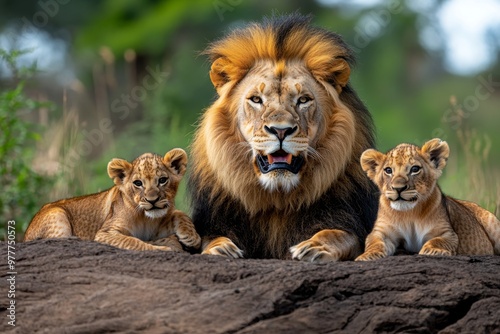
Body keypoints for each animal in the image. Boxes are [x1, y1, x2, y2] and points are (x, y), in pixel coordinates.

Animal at [189, 13, 376, 260]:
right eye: (256, 99)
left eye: (303, 100)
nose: (280, 131)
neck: (278, 200)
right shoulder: (213, 221)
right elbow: (208, 239)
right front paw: (220, 248)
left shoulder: (351, 221)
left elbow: (338, 235)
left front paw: (315, 247)